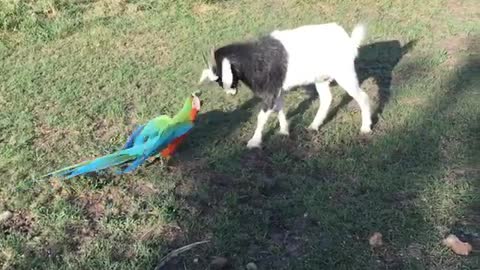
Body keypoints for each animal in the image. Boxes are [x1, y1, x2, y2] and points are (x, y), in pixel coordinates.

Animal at [197, 22, 374, 149]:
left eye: (219, 77)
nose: (230, 93)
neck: (253, 58)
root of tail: (349, 41)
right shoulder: (278, 90)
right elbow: (279, 109)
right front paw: (284, 131)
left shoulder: (270, 92)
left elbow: (262, 116)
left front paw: (254, 142)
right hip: (321, 78)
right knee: (326, 99)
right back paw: (314, 126)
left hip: (344, 74)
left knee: (363, 97)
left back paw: (366, 128)